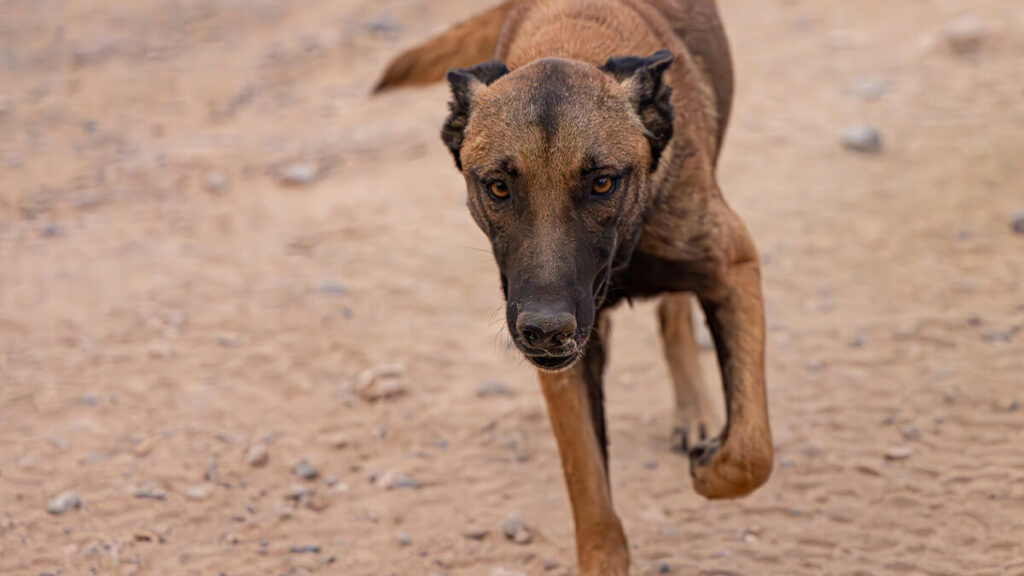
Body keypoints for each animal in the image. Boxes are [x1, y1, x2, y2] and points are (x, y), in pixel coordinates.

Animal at [380, 2, 770, 569]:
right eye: (498, 187)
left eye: (602, 183)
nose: (544, 330)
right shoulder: (566, 364)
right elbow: (592, 499)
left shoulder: (734, 266)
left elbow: (752, 451)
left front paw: (709, 463)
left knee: (674, 313)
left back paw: (694, 409)